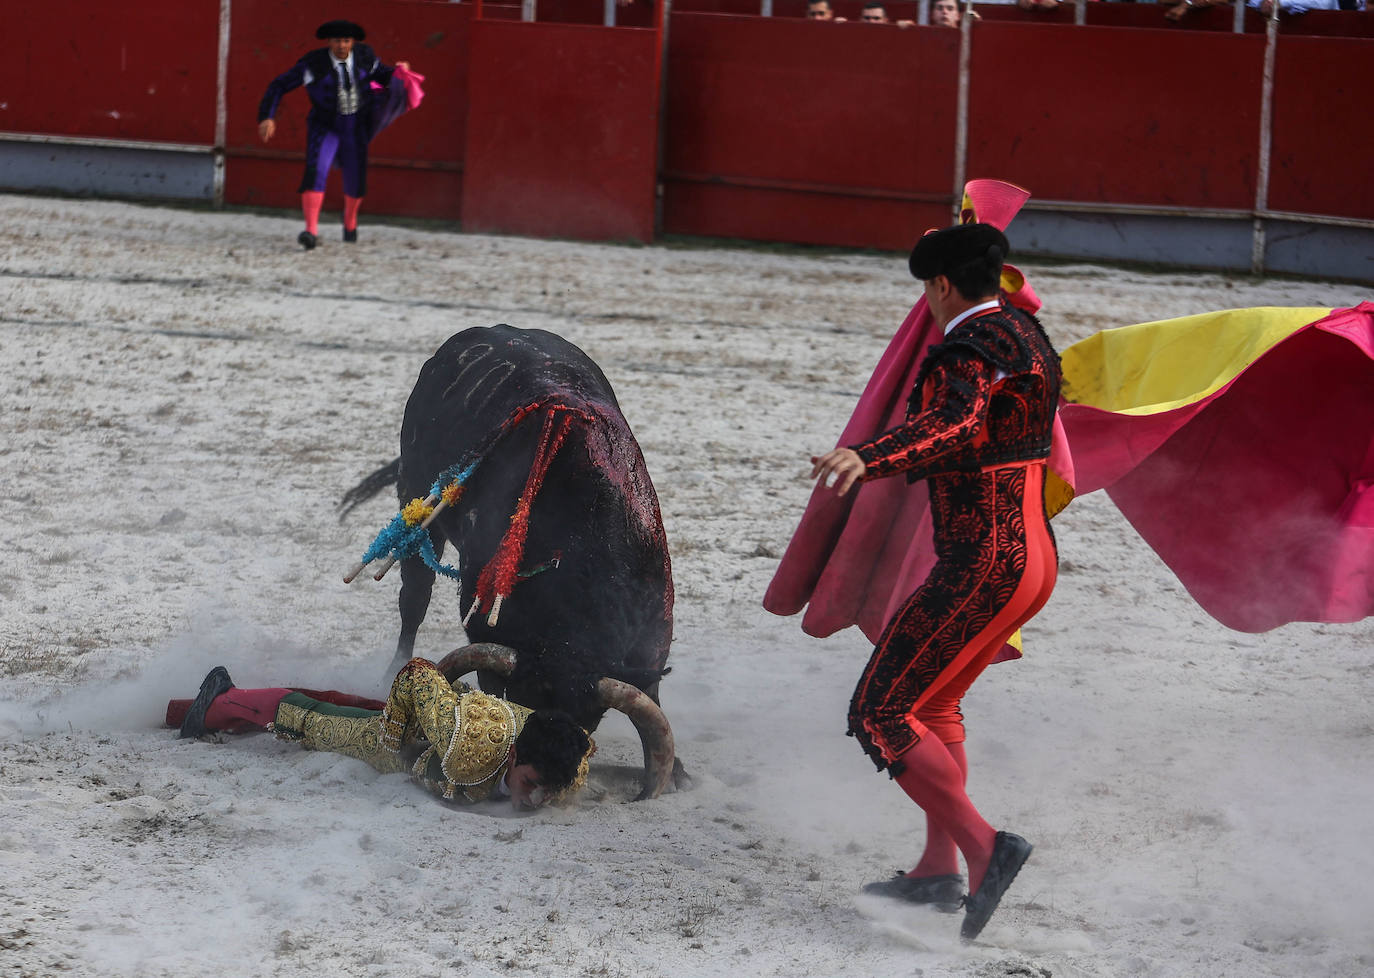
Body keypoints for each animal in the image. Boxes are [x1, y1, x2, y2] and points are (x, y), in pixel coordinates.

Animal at [340, 326, 678, 796]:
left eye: (589, 720)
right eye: (519, 705)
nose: (537, 777)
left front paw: (677, 772)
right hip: (420, 500)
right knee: (414, 600)